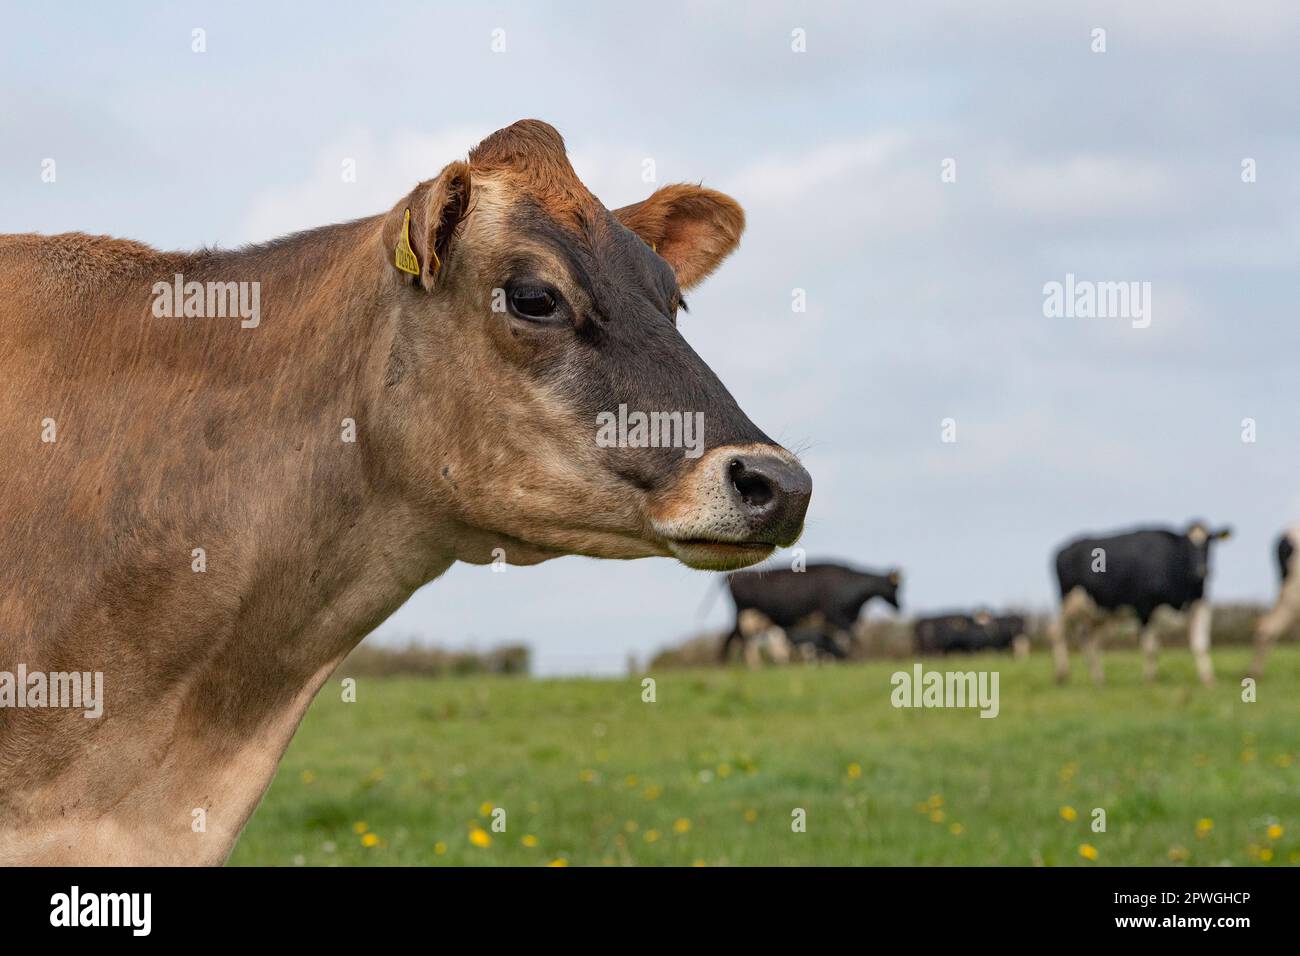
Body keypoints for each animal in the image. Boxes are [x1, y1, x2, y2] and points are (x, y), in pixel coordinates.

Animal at [720, 563, 901, 662]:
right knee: (744, 643)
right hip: (747, 619)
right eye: (896, 588)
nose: (900, 607)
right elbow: (851, 639)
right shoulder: (838, 617)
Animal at [1049, 522, 1231, 685]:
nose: (1203, 570)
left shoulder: (1201, 605)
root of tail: (1063, 549)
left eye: (1210, 543)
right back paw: (1062, 675)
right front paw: (1150, 681)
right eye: (1187, 546)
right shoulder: (1144, 608)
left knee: (1091, 641)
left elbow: (1201, 645)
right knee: (1057, 631)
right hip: (1069, 602)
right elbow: (1151, 649)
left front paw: (1209, 680)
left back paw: (1099, 679)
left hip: (1098, 613)